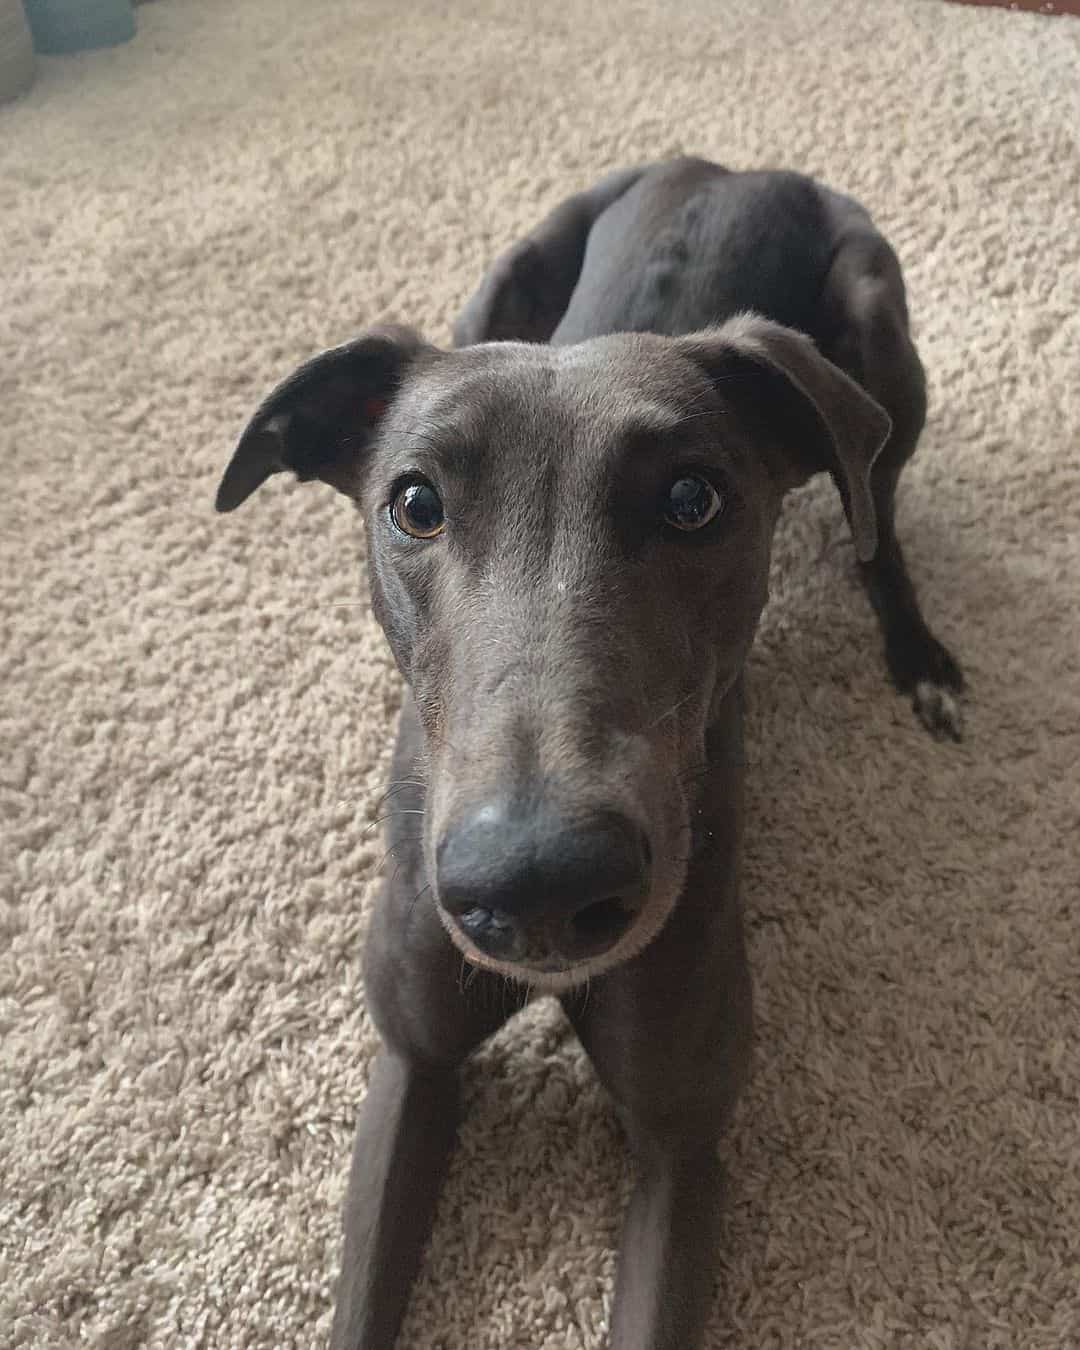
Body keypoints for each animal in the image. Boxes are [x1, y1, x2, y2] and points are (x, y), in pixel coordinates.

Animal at [217, 157, 961, 1350]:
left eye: (694, 498)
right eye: (414, 503)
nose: (537, 887)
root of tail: (736, 167)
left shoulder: (681, 1145)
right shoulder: (411, 1061)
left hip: (880, 338)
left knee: (874, 518)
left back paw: (920, 655)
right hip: (500, 279)